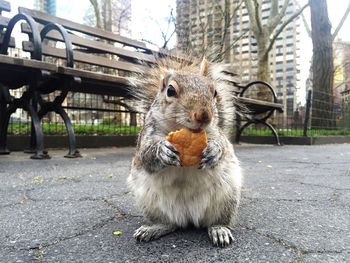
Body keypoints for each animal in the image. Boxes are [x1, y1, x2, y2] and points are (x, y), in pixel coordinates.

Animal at [127, 56, 242, 249]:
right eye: (170, 90)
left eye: (215, 92)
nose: (204, 115)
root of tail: (188, 217)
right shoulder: (146, 136)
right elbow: (146, 155)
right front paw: (162, 151)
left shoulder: (218, 135)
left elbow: (224, 147)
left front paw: (213, 151)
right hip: (149, 202)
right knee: (170, 224)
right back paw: (154, 228)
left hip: (227, 198)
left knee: (217, 221)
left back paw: (219, 229)